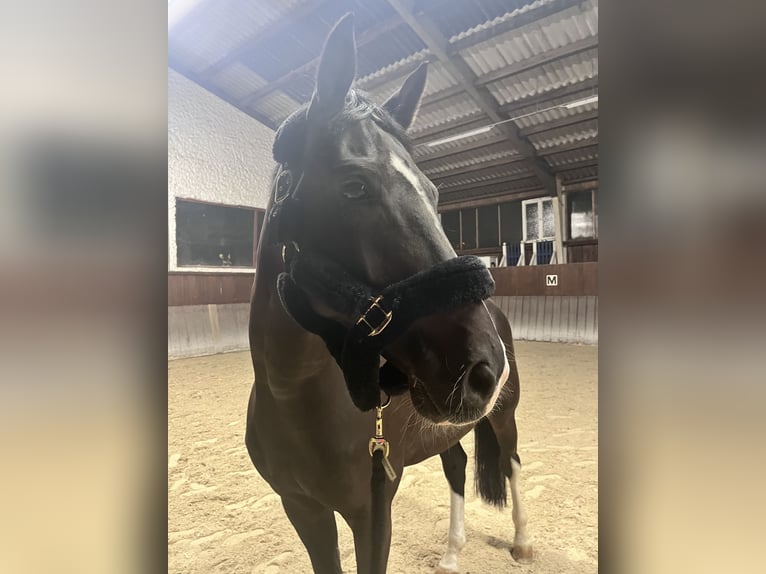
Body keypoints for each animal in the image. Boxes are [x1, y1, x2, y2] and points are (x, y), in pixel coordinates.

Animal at [246, 14, 532, 574]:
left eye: (434, 193)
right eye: (354, 185)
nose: (485, 368)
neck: (292, 396)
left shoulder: (371, 515)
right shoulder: (303, 509)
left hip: (503, 417)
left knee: (510, 460)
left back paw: (522, 542)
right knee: (457, 465)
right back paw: (451, 553)